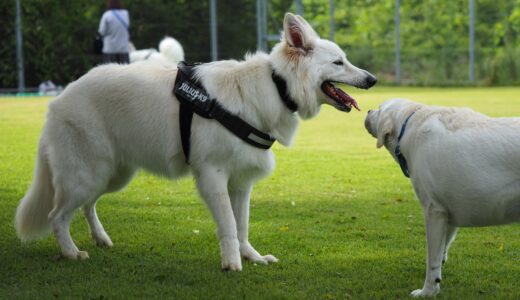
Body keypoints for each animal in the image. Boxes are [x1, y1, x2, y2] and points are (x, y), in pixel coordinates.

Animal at [15, 13, 374, 270]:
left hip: (111, 176)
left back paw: (99, 239)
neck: (276, 84)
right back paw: (71, 252)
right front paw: (232, 263)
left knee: (86, 206)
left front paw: (251, 257)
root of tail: (60, 99)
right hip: (88, 175)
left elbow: (242, 226)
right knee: (57, 216)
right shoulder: (213, 177)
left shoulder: (240, 184)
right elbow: (228, 224)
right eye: (339, 62)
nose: (372, 79)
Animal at [364, 99, 520, 298]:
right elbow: (441, 251)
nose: (368, 111)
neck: (409, 125)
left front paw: (428, 291)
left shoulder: (434, 211)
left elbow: (432, 259)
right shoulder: (448, 215)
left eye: (379, 108)